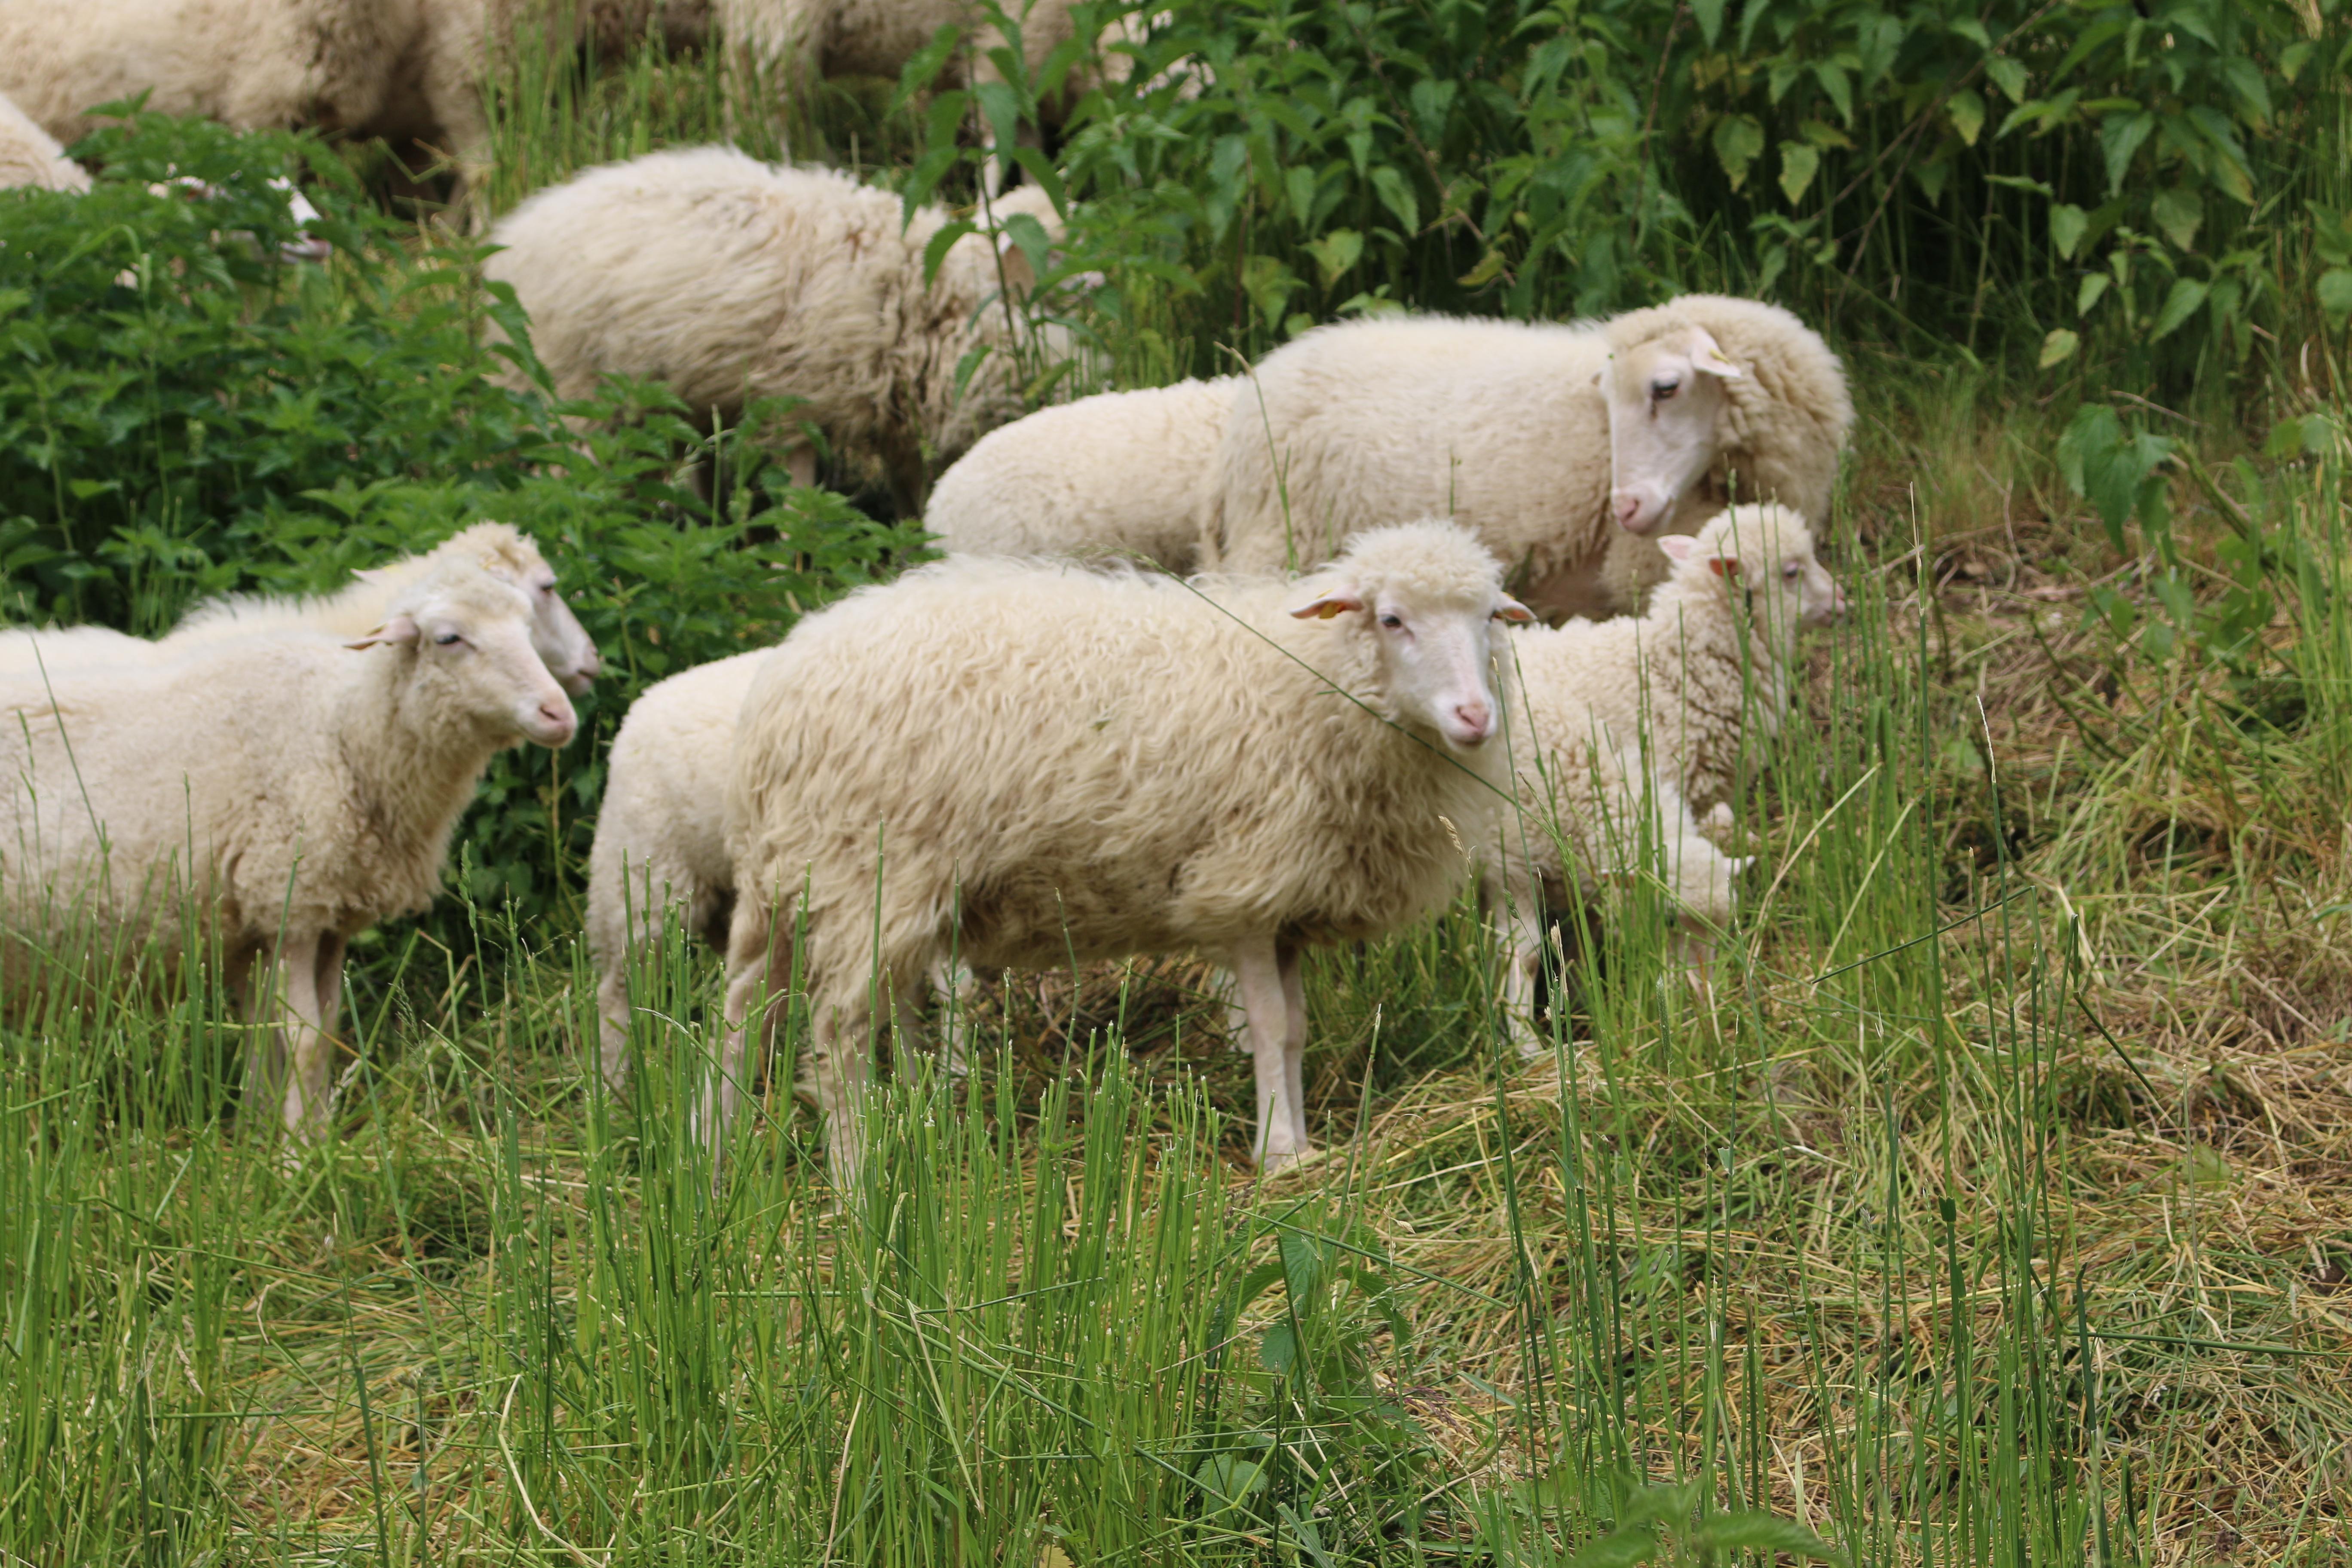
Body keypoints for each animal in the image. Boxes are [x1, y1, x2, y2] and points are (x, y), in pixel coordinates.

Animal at [0, 555, 578, 1140]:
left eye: (527, 626)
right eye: (449, 638)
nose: (559, 714)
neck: (343, 725)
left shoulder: (320, 915)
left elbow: (313, 1032)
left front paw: (309, 1138)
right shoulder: (290, 900)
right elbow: (302, 1039)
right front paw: (297, 1150)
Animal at [484, 147, 1067, 511]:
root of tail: (508, 243)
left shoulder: (896, 418)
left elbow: (912, 500)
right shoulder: (794, 405)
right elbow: (797, 508)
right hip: (573, 399)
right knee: (564, 488)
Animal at [717, 520, 1532, 1181]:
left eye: (1489, 618)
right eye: (1393, 619)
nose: (1474, 716)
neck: (1311, 677)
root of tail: (779, 682)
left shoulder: (1289, 903)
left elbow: (1297, 1031)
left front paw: (1302, 1145)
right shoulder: (1242, 883)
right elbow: (1270, 1028)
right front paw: (1277, 1155)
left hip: (794, 871)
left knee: (740, 1015)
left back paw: (713, 1164)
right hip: (869, 870)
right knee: (838, 1039)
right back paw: (856, 1183)